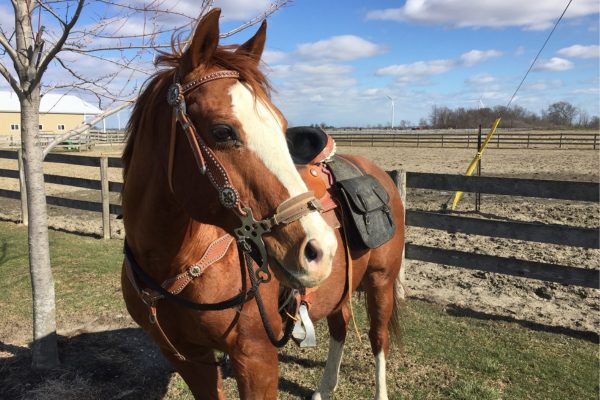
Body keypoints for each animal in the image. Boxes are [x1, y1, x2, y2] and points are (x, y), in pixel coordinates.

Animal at [120, 9, 406, 400]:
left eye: (281, 125)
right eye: (222, 131)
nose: (320, 249)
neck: (177, 262)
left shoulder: (256, 358)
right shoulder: (189, 359)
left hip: (381, 283)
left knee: (379, 341)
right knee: (340, 326)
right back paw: (324, 388)